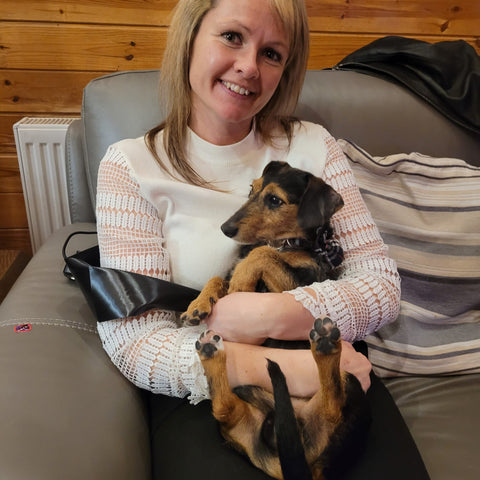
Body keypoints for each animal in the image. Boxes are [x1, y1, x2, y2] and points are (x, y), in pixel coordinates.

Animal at [181, 162, 372, 480]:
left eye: (274, 200)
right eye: (252, 190)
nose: (225, 228)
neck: (285, 243)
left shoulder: (299, 284)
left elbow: (261, 254)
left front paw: (241, 281)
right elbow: (220, 276)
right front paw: (198, 305)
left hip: (350, 385)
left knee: (333, 407)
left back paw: (325, 346)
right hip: (241, 410)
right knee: (225, 410)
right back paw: (211, 353)